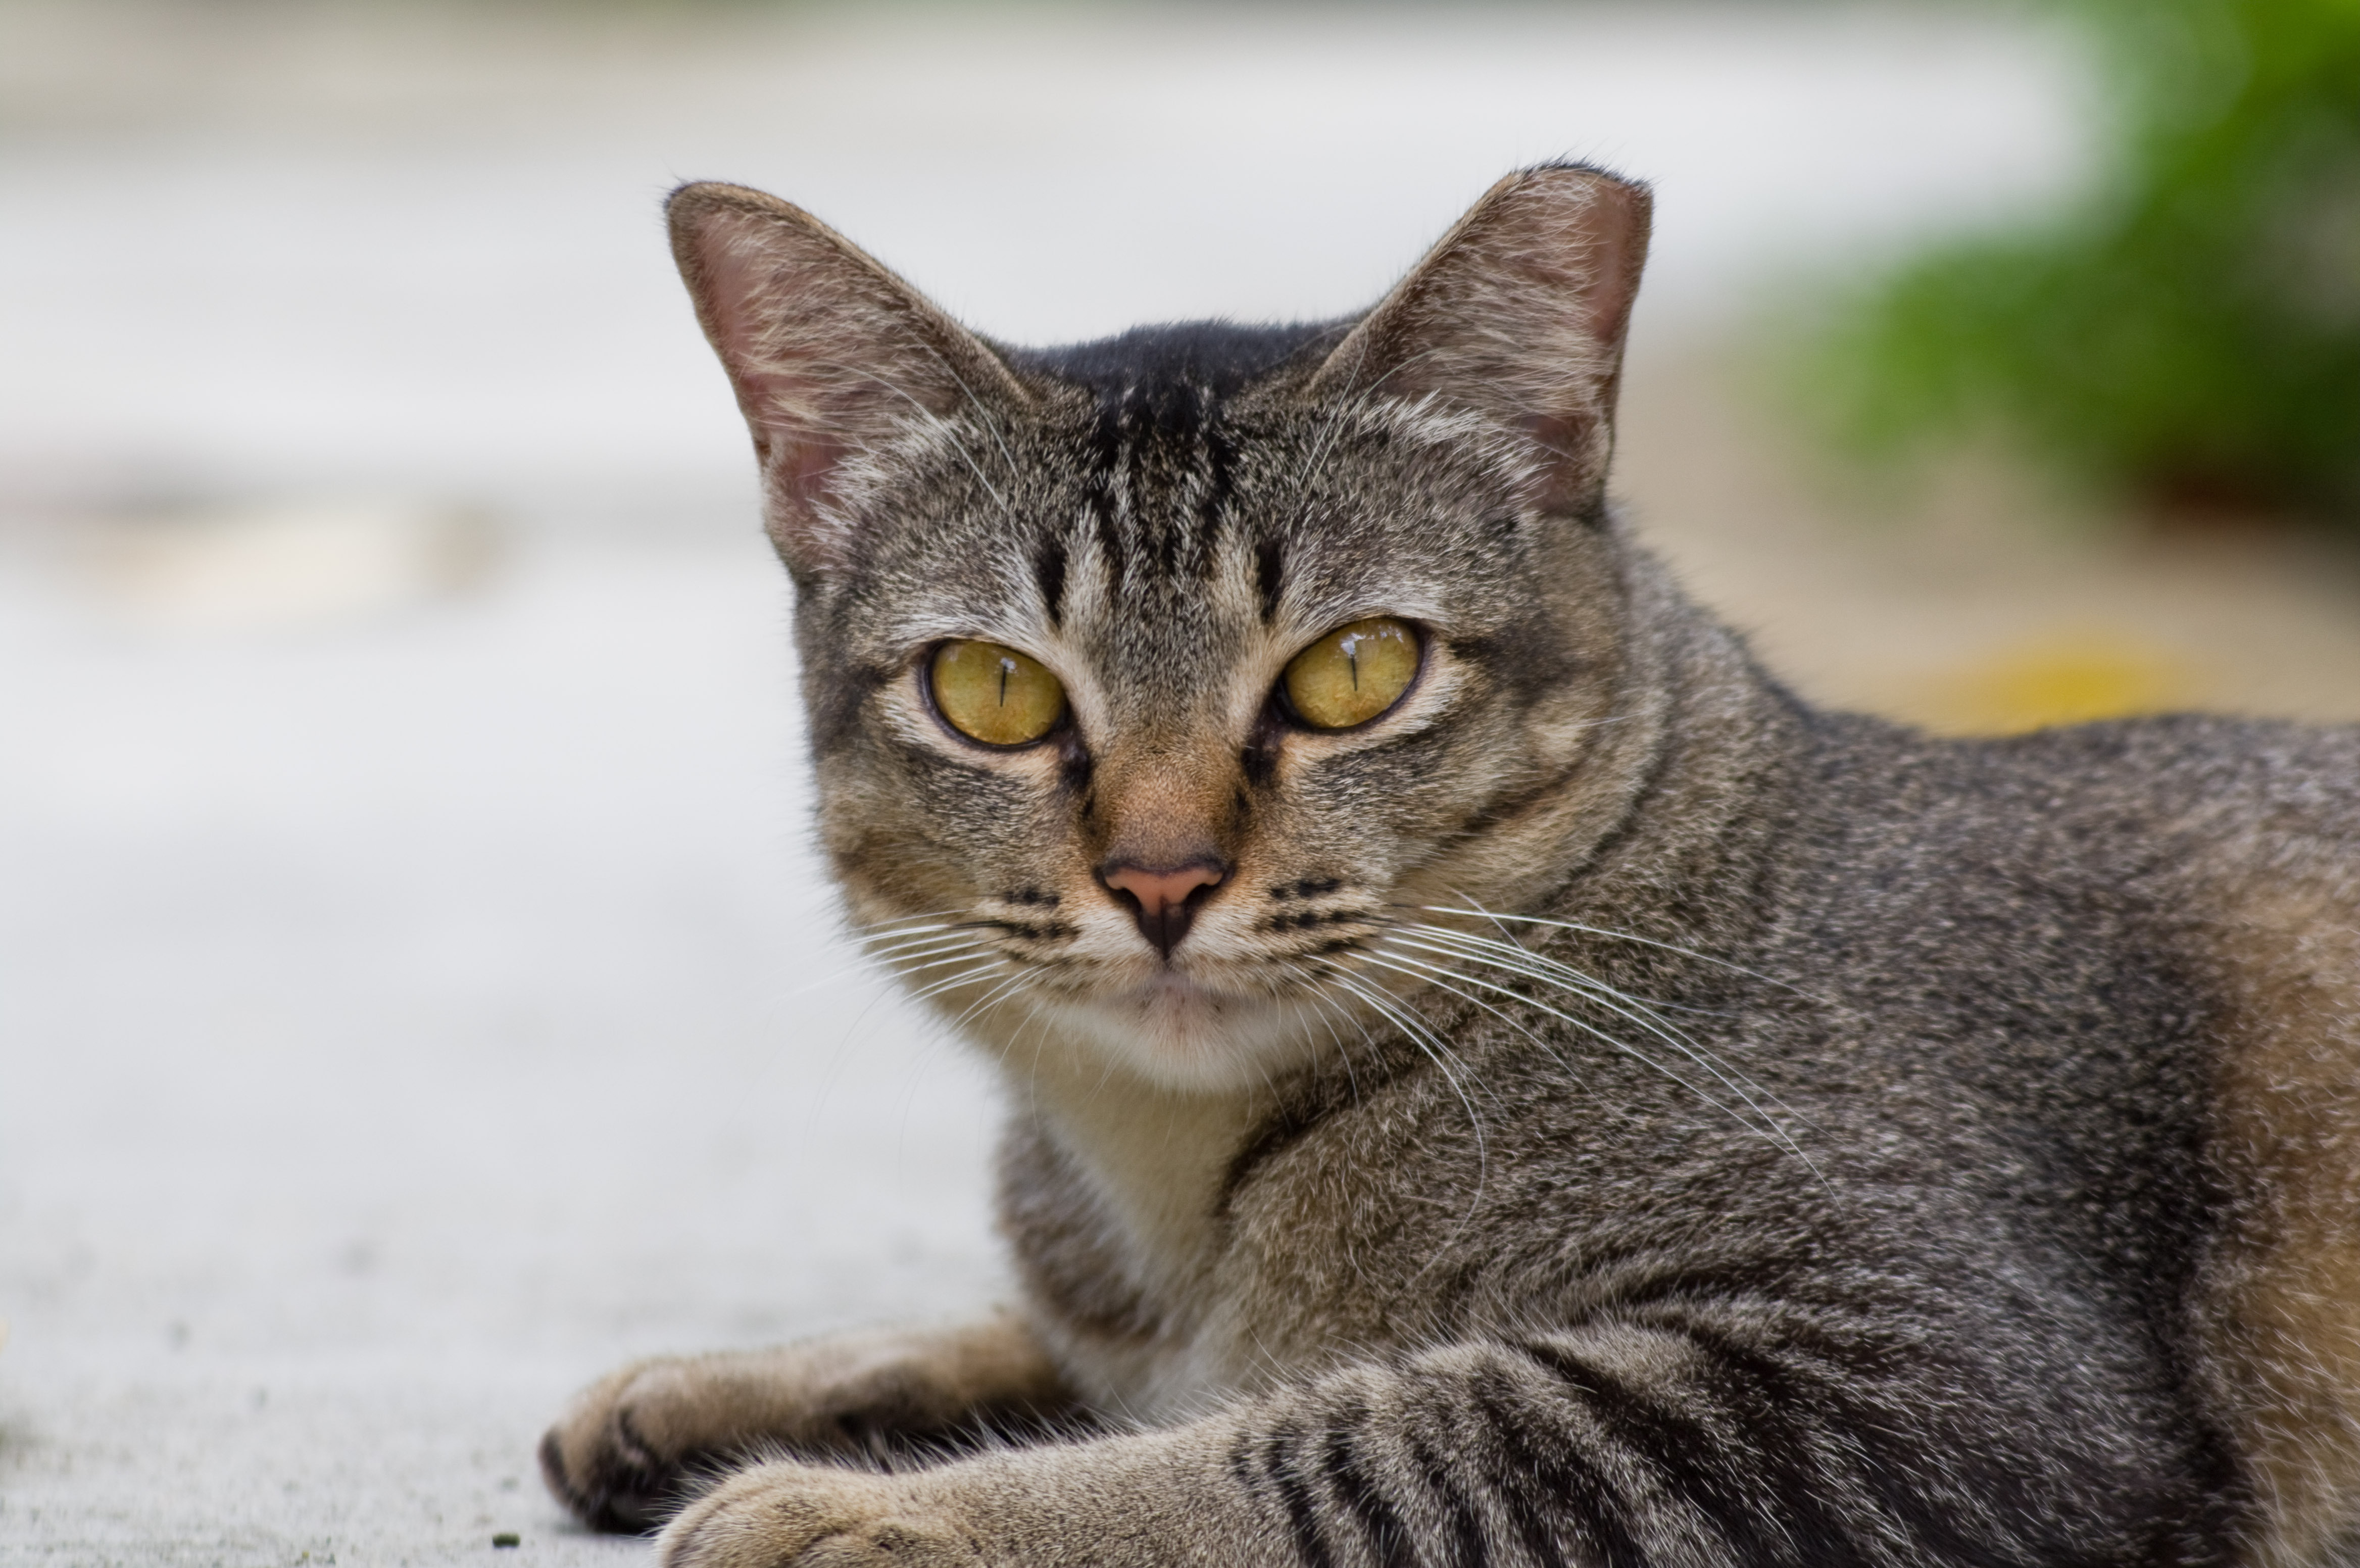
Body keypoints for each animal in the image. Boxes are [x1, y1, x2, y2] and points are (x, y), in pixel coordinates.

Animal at [535, 165, 2360, 1558]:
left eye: (1357, 670)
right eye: (995, 691)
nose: (1161, 879)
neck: (1179, 1195)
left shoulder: (1926, 1380)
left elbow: (1327, 1441)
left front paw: (879, 1511)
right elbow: (1072, 1351)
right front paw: (742, 1387)